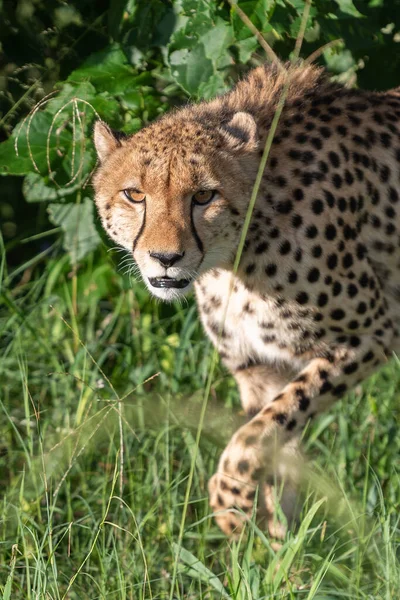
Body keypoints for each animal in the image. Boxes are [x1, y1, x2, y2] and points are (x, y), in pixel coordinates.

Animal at [92, 63, 400, 536]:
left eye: (204, 195)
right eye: (135, 194)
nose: (166, 258)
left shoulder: (372, 335)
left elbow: (254, 436)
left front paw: (230, 499)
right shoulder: (260, 367)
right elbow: (275, 441)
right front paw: (277, 545)